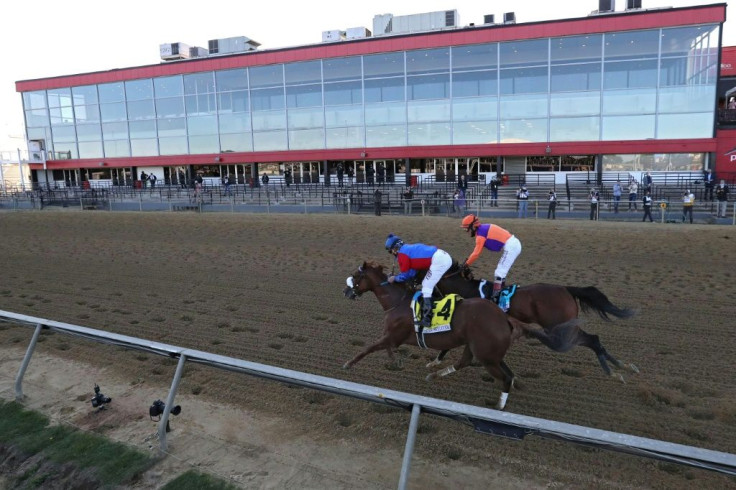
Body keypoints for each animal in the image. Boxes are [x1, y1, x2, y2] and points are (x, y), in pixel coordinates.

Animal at [340, 260, 580, 410]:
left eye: (356, 275)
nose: (346, 292)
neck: (398, 302)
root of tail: (505, 319)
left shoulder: (392, 335)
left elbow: (369, 348)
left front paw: (349, 363)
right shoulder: (392, 337)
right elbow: (384, 348)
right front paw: (396, 360)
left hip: (486, 355)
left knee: (503, 376)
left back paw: (499, 405)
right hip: (483, 350)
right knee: (481, 366)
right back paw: (435, 375)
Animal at [432, 260, 640, 378]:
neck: (467, 290)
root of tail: (567, 288)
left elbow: (448, 344)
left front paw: (435, 361)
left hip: (559, 329)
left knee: (590, 340)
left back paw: (615, 371)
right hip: (565, 327)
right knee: (593, 340)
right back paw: (623, 368)